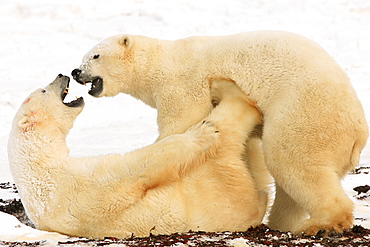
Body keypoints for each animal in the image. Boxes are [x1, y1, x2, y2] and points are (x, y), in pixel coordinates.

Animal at [7, 75, 264, 239]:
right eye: (43, 90)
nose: (61, 75)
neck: (40, 164)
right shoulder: (81, 185)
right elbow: (136, 168)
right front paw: (202, 133)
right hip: (216, 183)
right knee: (230, 131)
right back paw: (225, 95)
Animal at [72, 30, 370, 235]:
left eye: (95, 55)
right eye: (85, 56)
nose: (76, 71)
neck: (162, 63)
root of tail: (358, 133)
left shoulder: (182, 87)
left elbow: (183, 122)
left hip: (306, 115)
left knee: (294, 161)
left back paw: (318, 224)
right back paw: (279, 222)